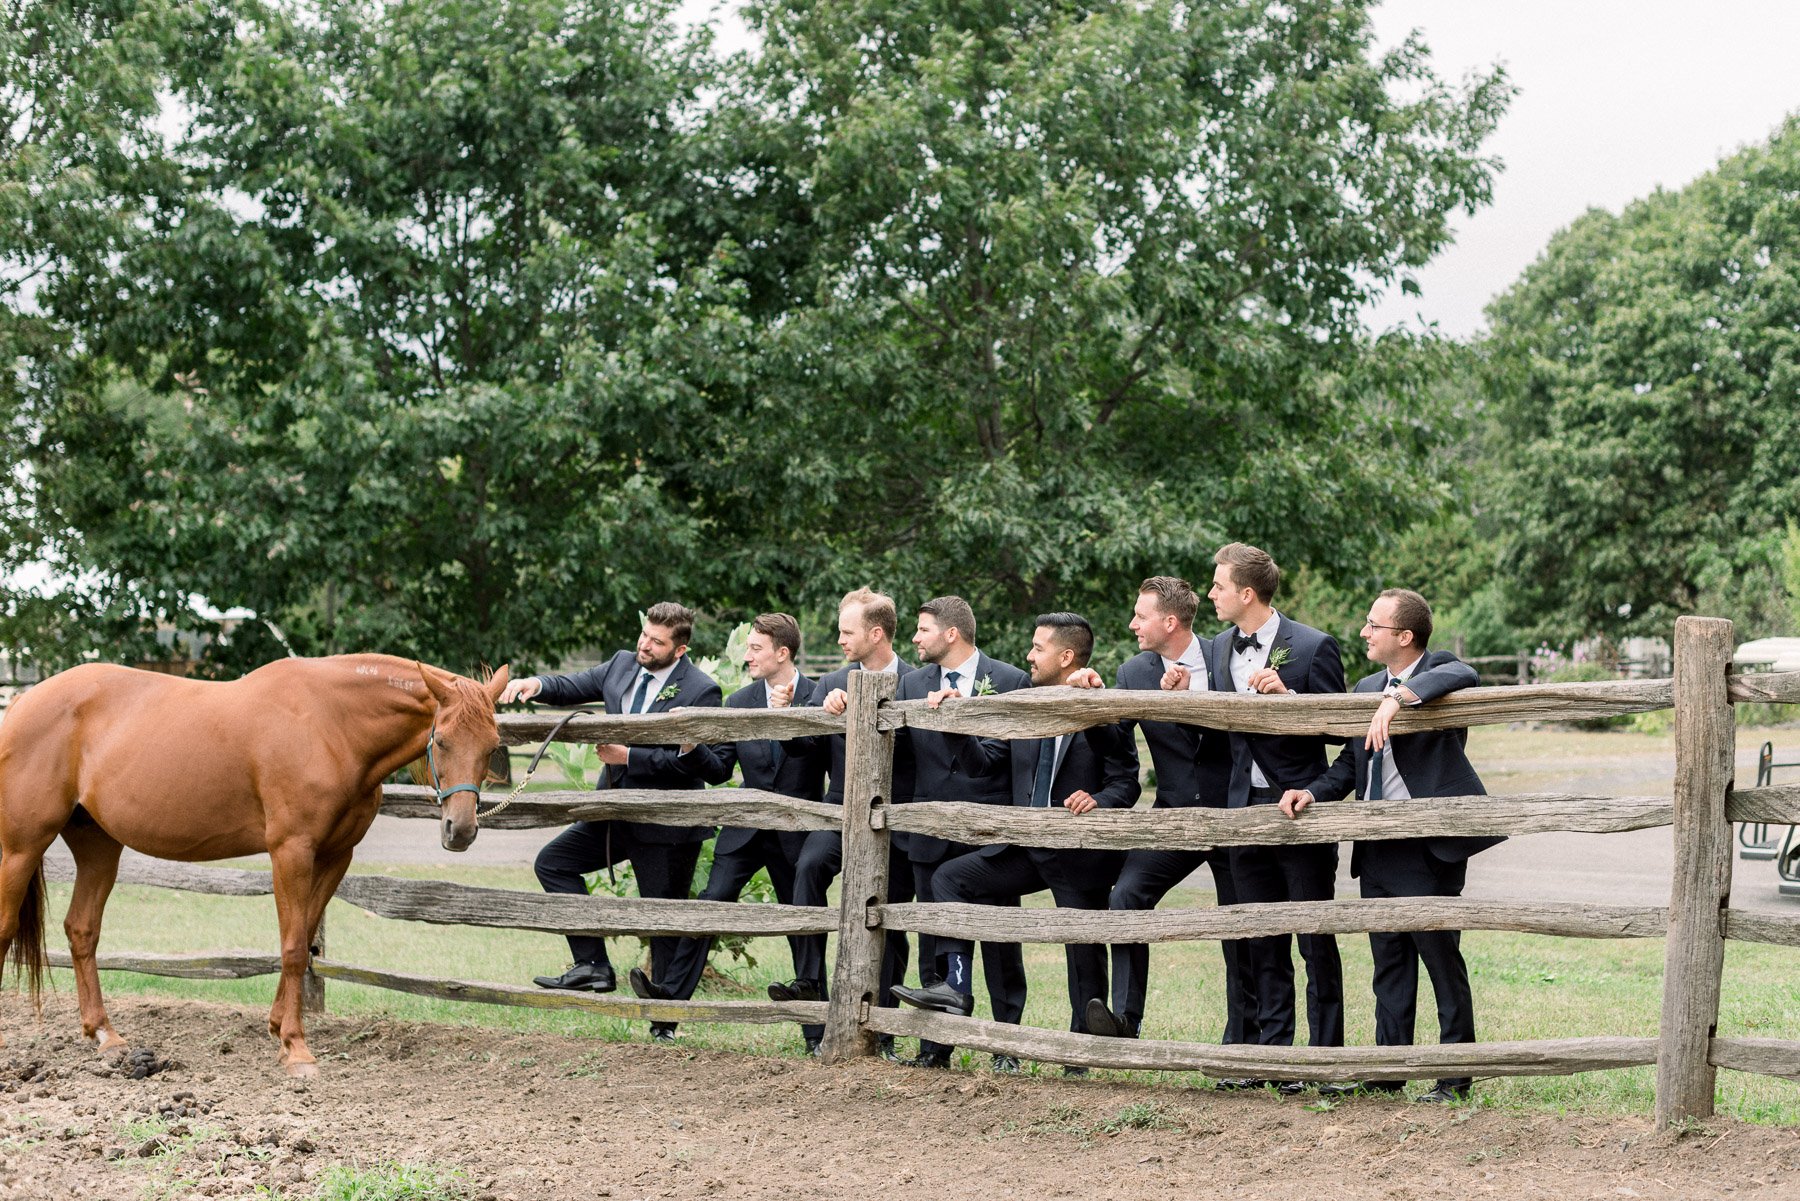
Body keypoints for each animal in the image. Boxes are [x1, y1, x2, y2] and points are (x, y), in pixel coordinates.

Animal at [0, 659, 507, 1080]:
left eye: (492, 747)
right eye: (442, 740)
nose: (460, 830)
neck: (330, 725)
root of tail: (23, 702)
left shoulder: (334, 856)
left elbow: (304, 936)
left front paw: (279, 1028)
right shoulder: (291, 851)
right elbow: (293, 948)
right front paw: (297, 1049)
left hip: (98, 846)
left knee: (82, 930)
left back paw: (106, 1037)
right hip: (21, 848)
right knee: (8, 928)